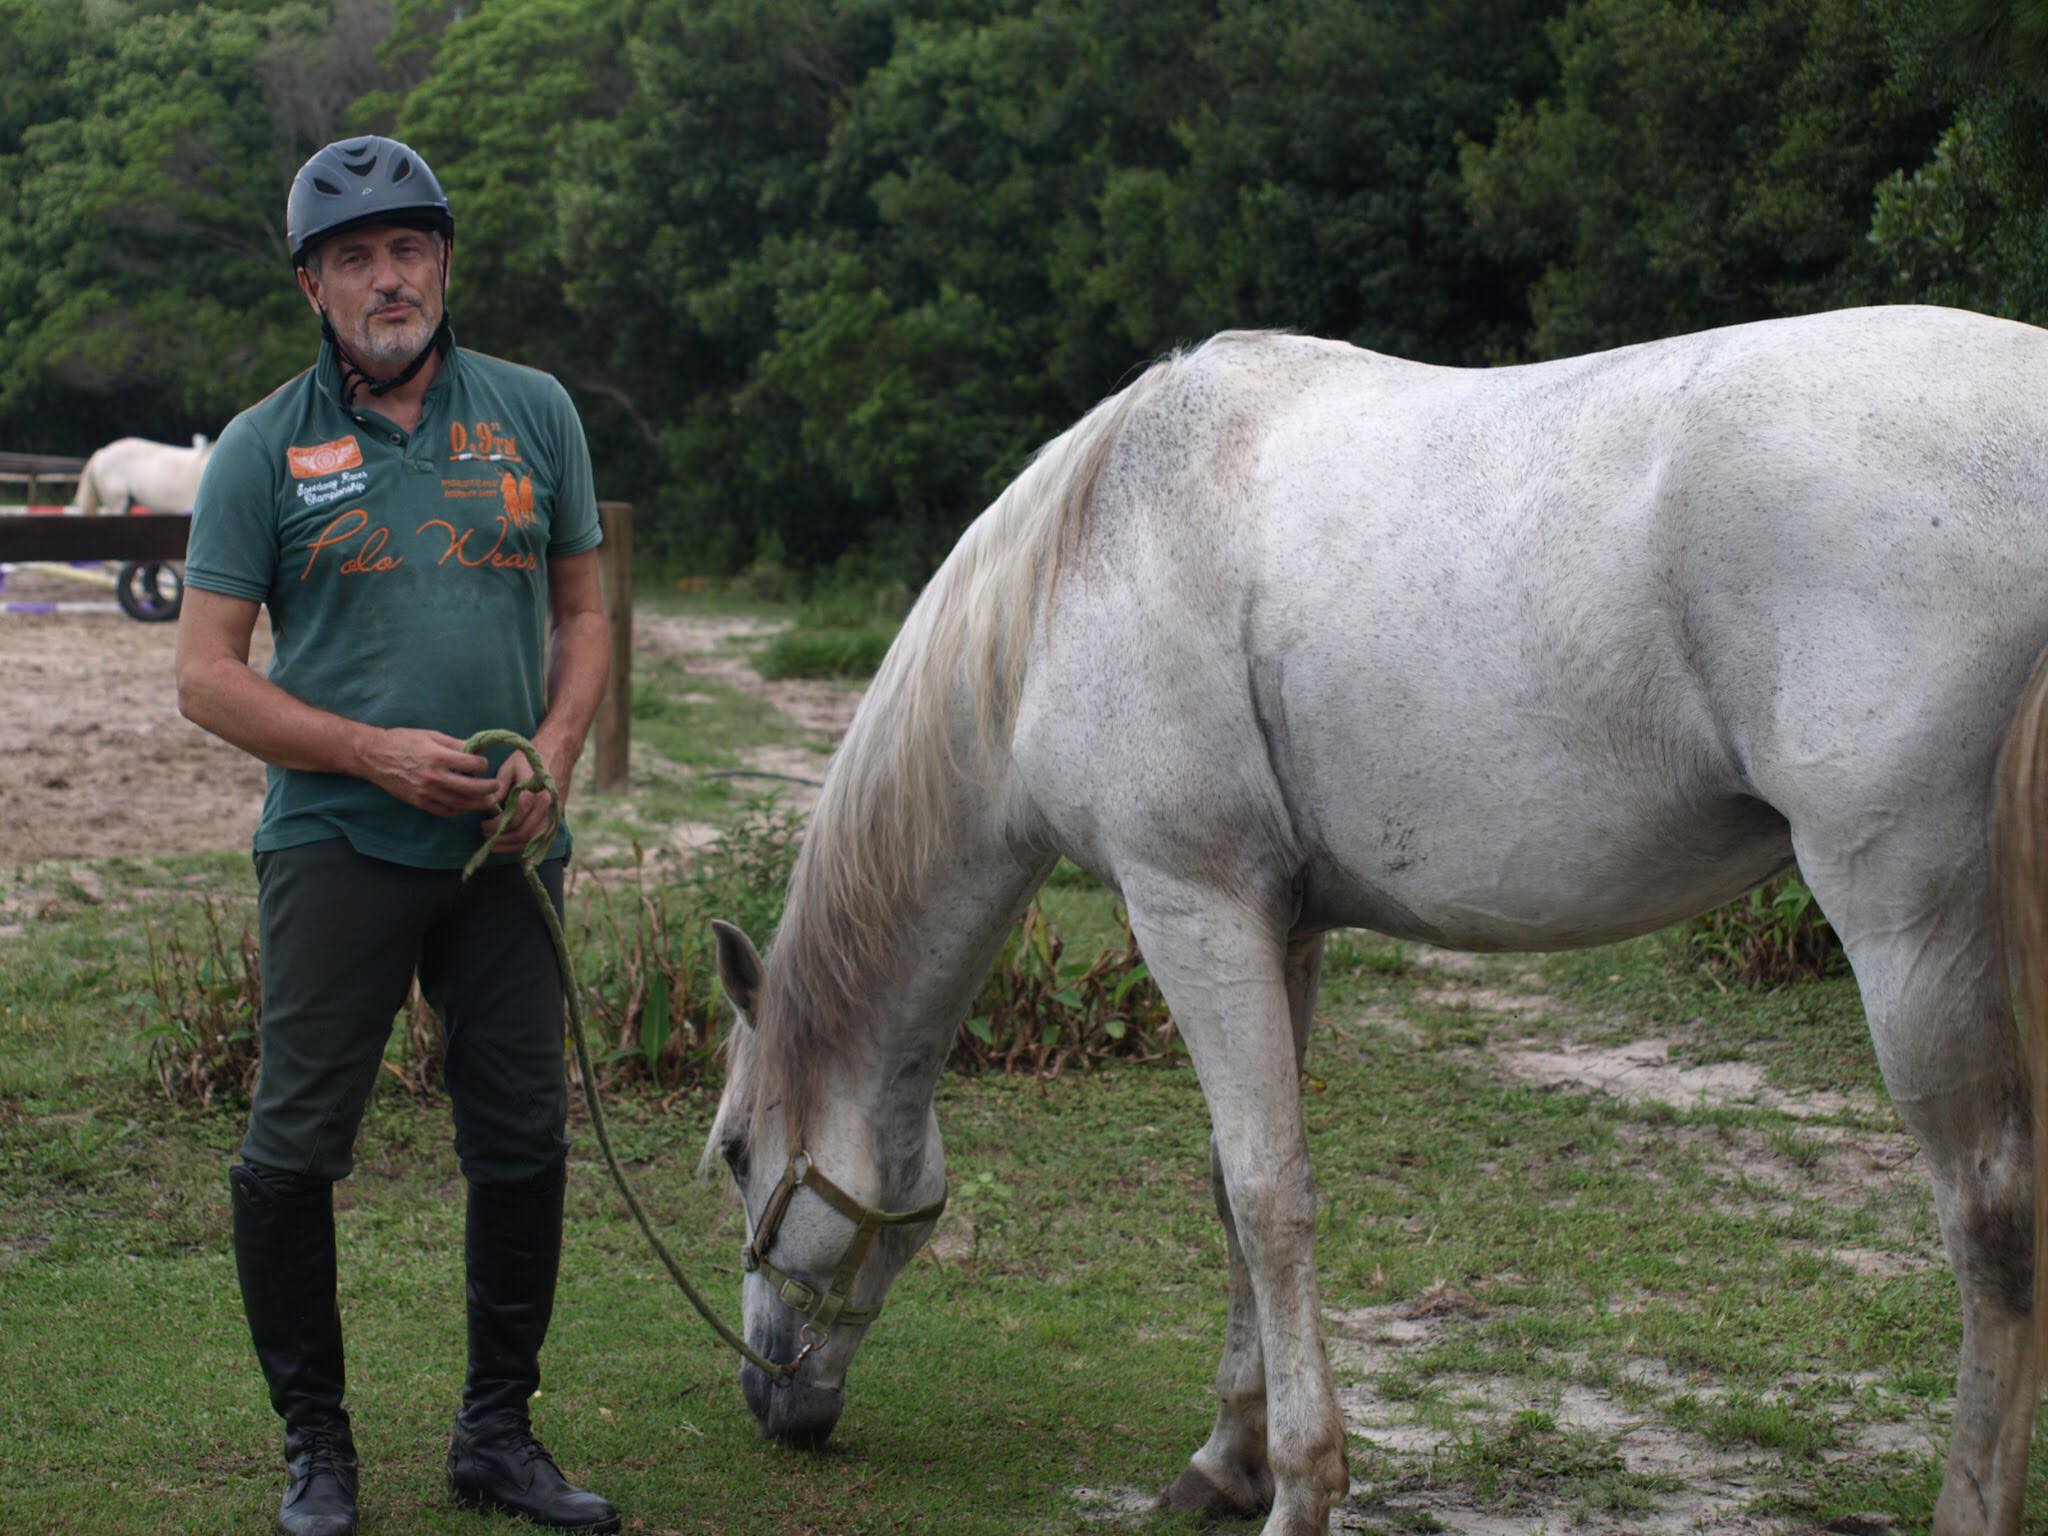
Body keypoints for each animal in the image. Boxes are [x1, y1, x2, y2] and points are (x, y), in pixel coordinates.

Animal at [700, 309, 2048, 1536]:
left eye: (731, 1153)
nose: (771, 1407)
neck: (1083, 557)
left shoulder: (1188, 907)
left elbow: (1266, 1195)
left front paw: (1299, 1490)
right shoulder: (1276, 928)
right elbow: (1229, 1186)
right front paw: (1226, 1461)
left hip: (1909, 921)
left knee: (1990, 1218)